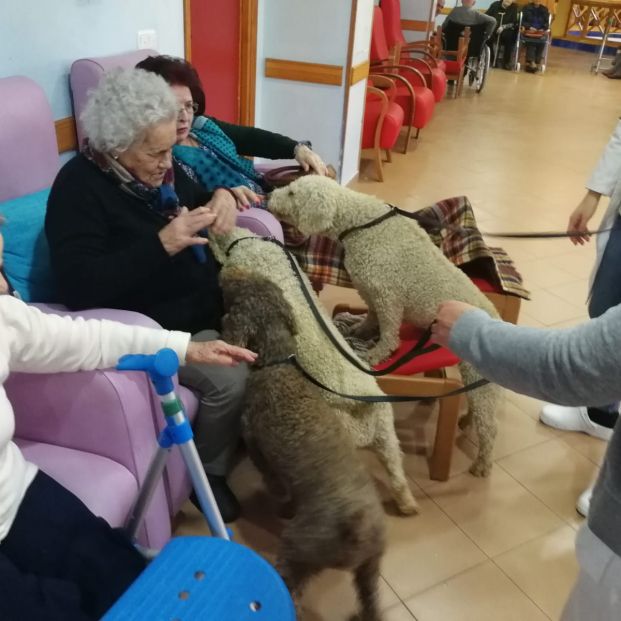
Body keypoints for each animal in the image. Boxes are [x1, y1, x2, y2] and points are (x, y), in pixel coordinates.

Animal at [220, 272, 386, 620]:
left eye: (238, 291)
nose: (224, 274)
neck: (277, 362)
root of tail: (358, 530)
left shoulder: (259, 450)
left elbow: (276, 485)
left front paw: (282, 508)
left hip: (298, 551)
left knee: (291, 588)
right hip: (370, 567)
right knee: (372, 604)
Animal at [268, 174, 502, 474]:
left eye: (292, 192)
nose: (269, 196)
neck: (358, 222)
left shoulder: (387, 295)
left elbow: (389, 334)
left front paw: (377, 353)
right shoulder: (369, 290)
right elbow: (371, 318)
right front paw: (360, 331)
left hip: (477, 376)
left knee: (490, 426)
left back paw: (482, 463)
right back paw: (466, 422)